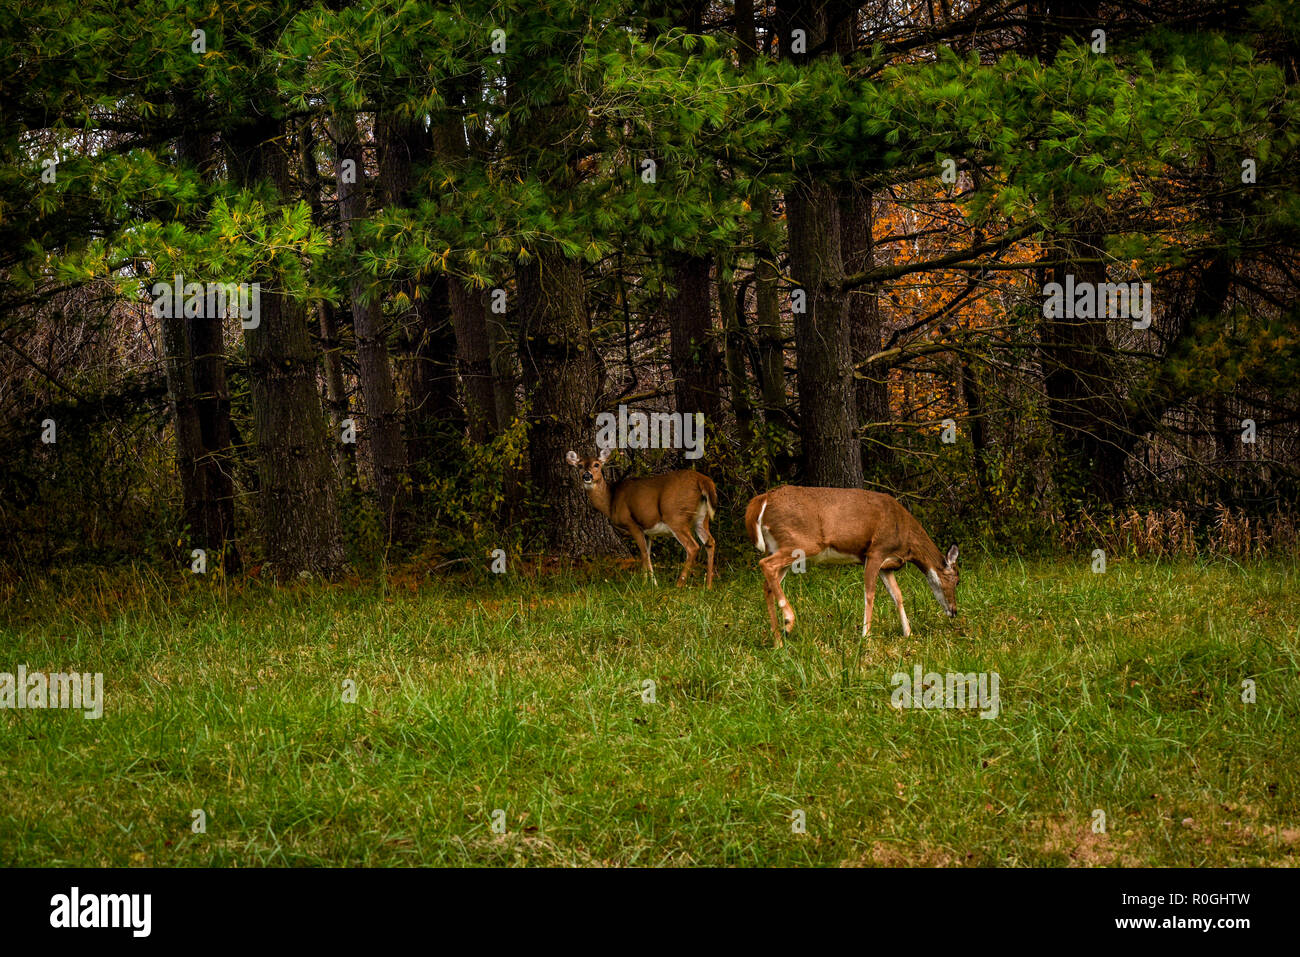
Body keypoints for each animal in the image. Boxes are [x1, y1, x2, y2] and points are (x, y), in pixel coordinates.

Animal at [564, 447, 717, 587]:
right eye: (580, 465)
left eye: (597, 464)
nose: (587, 475)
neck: (611, 501)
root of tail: (703, 480)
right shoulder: (647, 531)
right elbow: (647, 554)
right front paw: (649, 583)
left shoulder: (632, 523)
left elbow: (643, 553)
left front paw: (648, 585)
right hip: (701, 517)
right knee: (710, 541)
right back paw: (708, 586)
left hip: (676, 516)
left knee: (693, 547)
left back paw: (679, 585)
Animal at [743, 486, 956, 650]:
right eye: (956, 580)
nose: (954, 611)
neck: (906, 540)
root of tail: (764, 499)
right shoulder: (875, 551)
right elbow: (870, 594)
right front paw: (866, 637)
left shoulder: (886, 566)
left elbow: (897, 596)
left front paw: (908, 634)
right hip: (800, 542)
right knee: (765, 565)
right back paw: (788, 621)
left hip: (779, 546)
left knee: (768, 584)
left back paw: (778, 641)